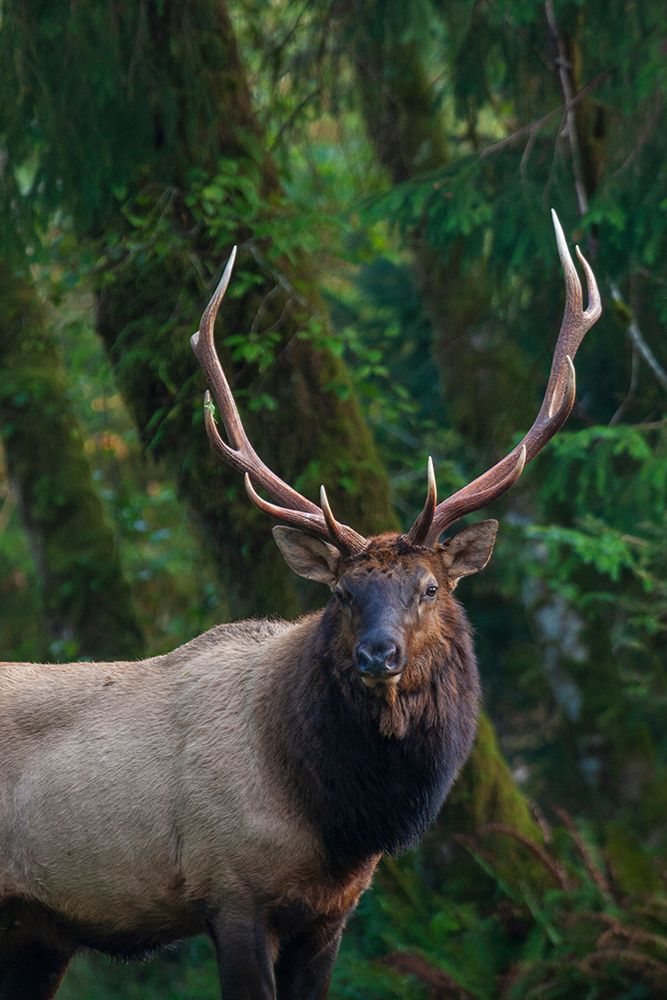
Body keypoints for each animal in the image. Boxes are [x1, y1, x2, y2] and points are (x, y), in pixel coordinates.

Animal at [0, 212, 601, 999]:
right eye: (342, 593)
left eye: (430, 588)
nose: (378, 654)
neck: (334, 821)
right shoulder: (230, 890)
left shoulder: (330, 913)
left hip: (36, 931)